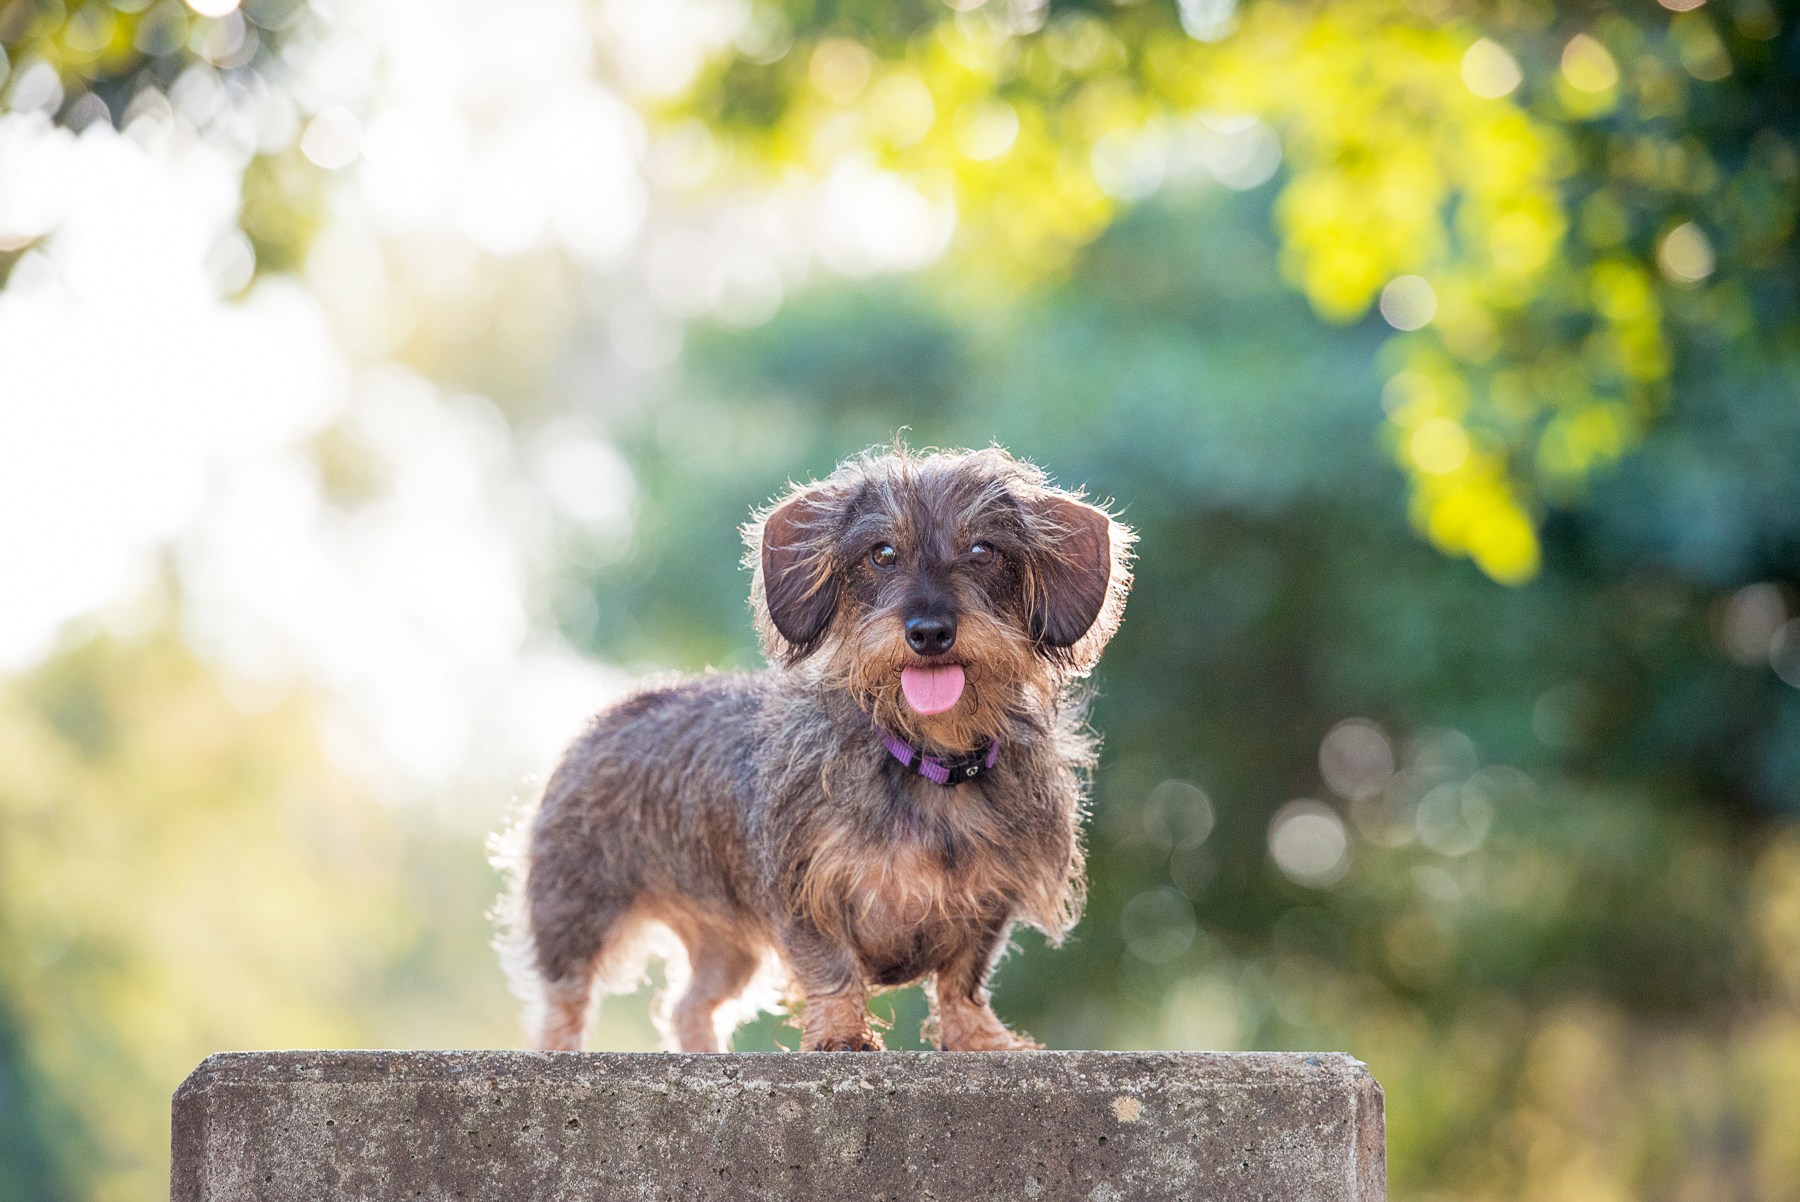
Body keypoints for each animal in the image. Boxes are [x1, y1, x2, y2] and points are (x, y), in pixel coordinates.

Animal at [493, 444, 1130, 1050]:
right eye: (881, 553)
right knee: (565, 1002)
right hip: (575, 914)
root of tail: (609, 714)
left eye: (983, 551)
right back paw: (559, 1049)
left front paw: (979, 1038)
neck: (927, 761)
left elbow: (961, 980)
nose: (929, 632)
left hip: (726, 945)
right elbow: (833, 969)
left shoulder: (987, 903)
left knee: (689, 1005)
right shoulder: (806, 890)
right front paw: (841, 1034)